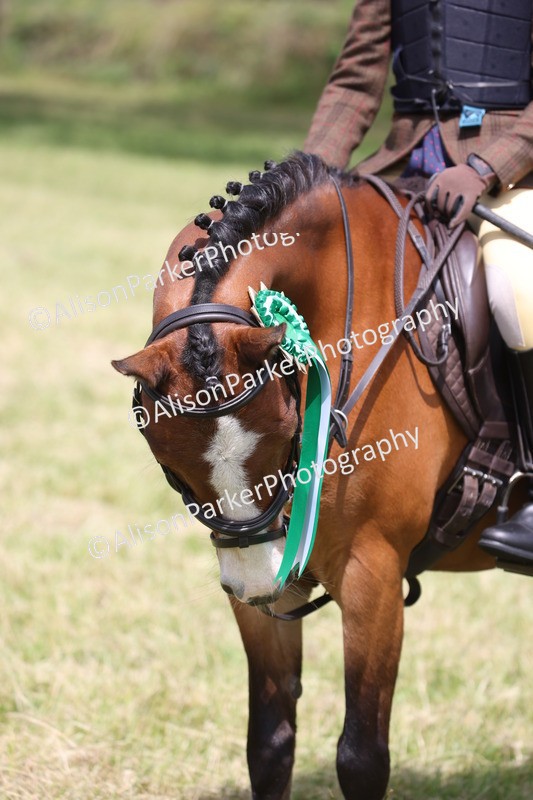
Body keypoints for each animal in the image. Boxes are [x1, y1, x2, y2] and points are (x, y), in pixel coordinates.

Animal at [112, 152, 511, 800]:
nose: (262, 580)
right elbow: (270, 744)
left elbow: (362, 756)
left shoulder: (373, 573)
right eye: (170, 465)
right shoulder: (255, 590)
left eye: (284, 440)